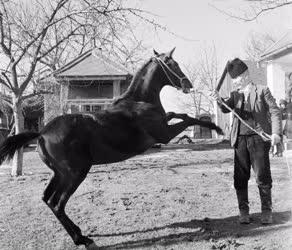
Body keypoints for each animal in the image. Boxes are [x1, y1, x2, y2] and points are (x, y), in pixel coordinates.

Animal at [0, 48, 224, 246]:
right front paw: (217, 128)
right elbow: (187, 118)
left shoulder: (164, 125)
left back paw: (80, 233)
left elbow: (177, 114)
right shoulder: (164, 134)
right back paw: (81, 239)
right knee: (57, 203)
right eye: (173, 64)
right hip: (75, 173)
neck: (139, 103)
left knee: (48, 199)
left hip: (60, 173)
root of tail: (42, 133)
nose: (188, 84)